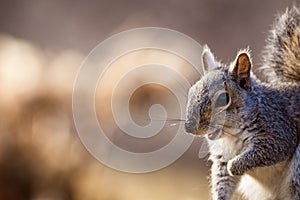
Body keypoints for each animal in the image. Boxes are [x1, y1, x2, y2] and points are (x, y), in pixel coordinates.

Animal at [185, 5, 300, 199]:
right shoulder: (221, 156)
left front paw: (235, 166)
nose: (189, 127)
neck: (231, 136)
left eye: (223, 99)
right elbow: (223, 181)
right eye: (191, 91)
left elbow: (269, 150)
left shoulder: (279, 130)